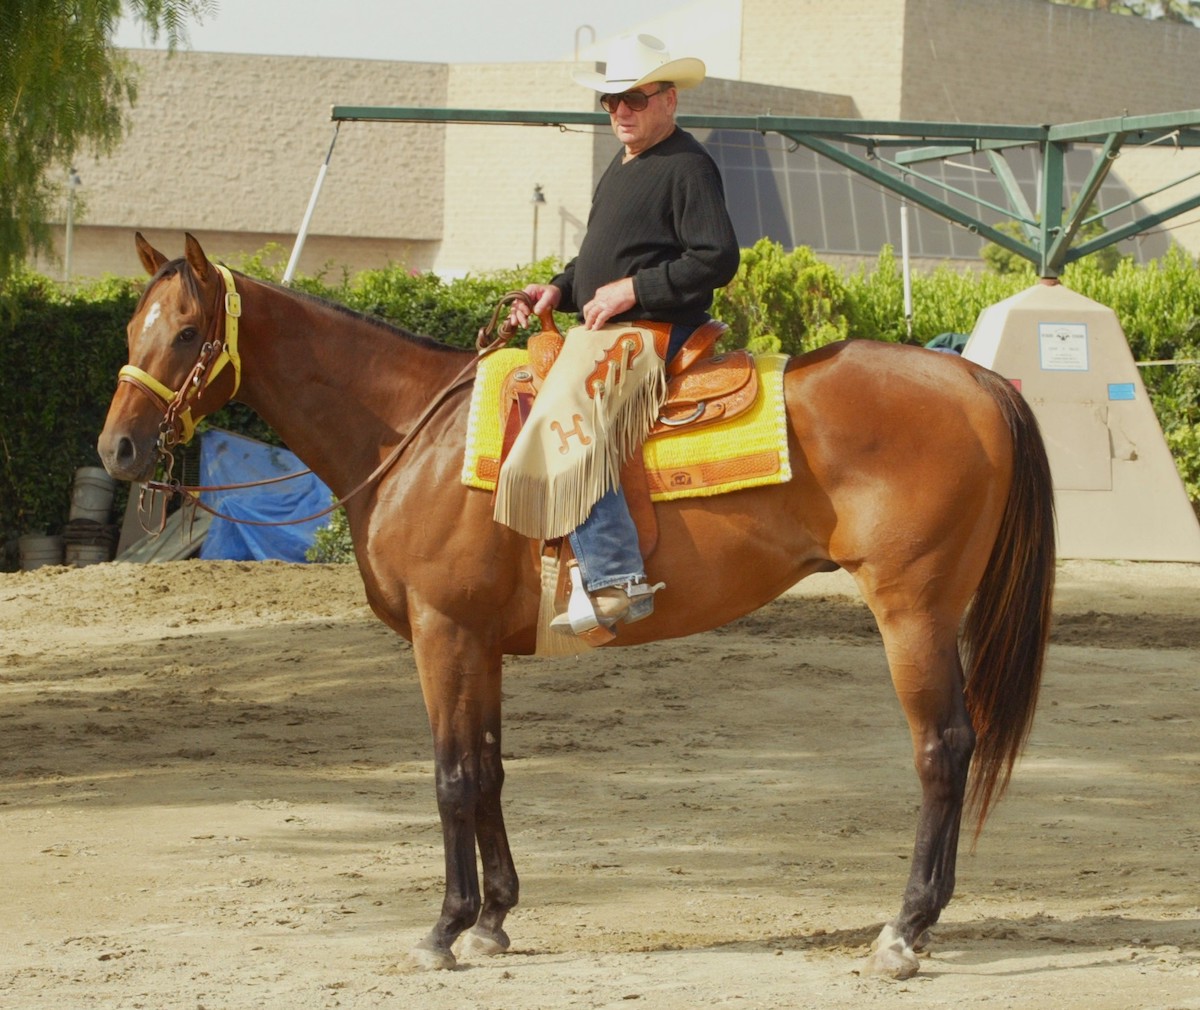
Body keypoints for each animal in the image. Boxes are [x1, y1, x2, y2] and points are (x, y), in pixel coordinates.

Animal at [98, 233, 1056, 974]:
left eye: (188, 332)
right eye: (132, 326)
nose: (118, 449)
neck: (414, 434)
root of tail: (978, 384)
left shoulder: (443, 635)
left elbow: (450, 777)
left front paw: (443, 928)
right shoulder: (479, 644)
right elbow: (487, 770)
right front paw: (492, 920)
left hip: (913, 612)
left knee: (943, 748)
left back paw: (906, 928)